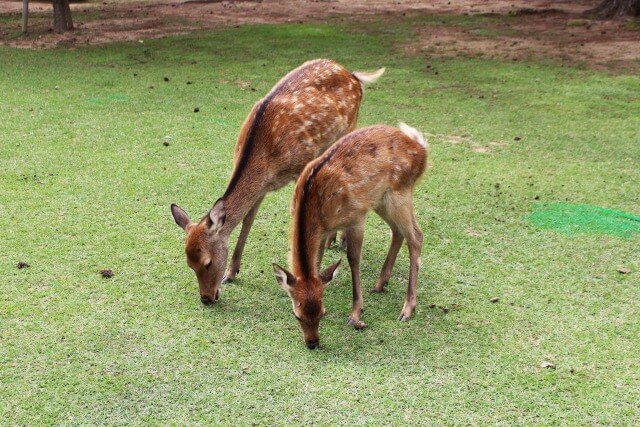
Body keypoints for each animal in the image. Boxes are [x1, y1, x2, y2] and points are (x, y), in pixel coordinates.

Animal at [168, 61, 384, 308]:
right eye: (189, 263)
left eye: (207, 262)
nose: (206, 298)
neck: (265, 157)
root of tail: (353, 76)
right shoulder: (263, 185)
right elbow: (248, 219)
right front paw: (231, 273)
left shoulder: (302, 166)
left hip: (349, 127)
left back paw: (341, 239)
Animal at [272, 123, 428, 352]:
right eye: (297, 315)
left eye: (322, 313)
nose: (313, 343)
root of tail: (422, 150)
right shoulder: (323, 232)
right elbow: (317, 264)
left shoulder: (356, 217)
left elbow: (353, 259)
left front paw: (355, 314)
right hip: (381, 200)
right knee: (398, 231)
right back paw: (380, 284)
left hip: (400, 193)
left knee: (416, 236)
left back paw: (407, 309)